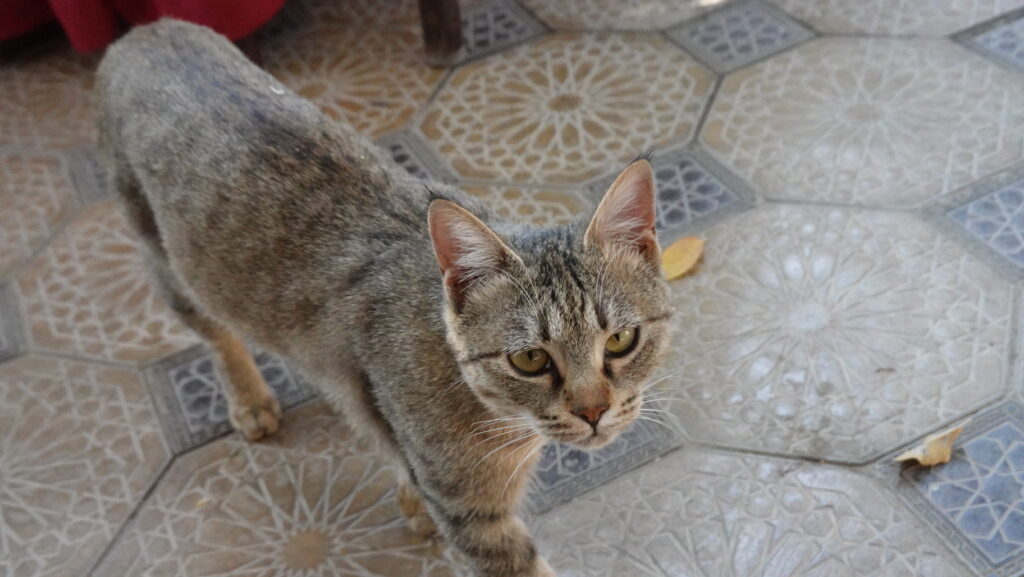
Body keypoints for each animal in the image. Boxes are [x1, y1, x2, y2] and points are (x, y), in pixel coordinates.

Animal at [96, 19, 671, 577]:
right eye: (529, 359)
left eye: (620, 339)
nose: (594, 411)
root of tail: (146, 31)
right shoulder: (472, 512)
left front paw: (409, 496)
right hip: (168, 264)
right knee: (217, 335)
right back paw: (249, 398)